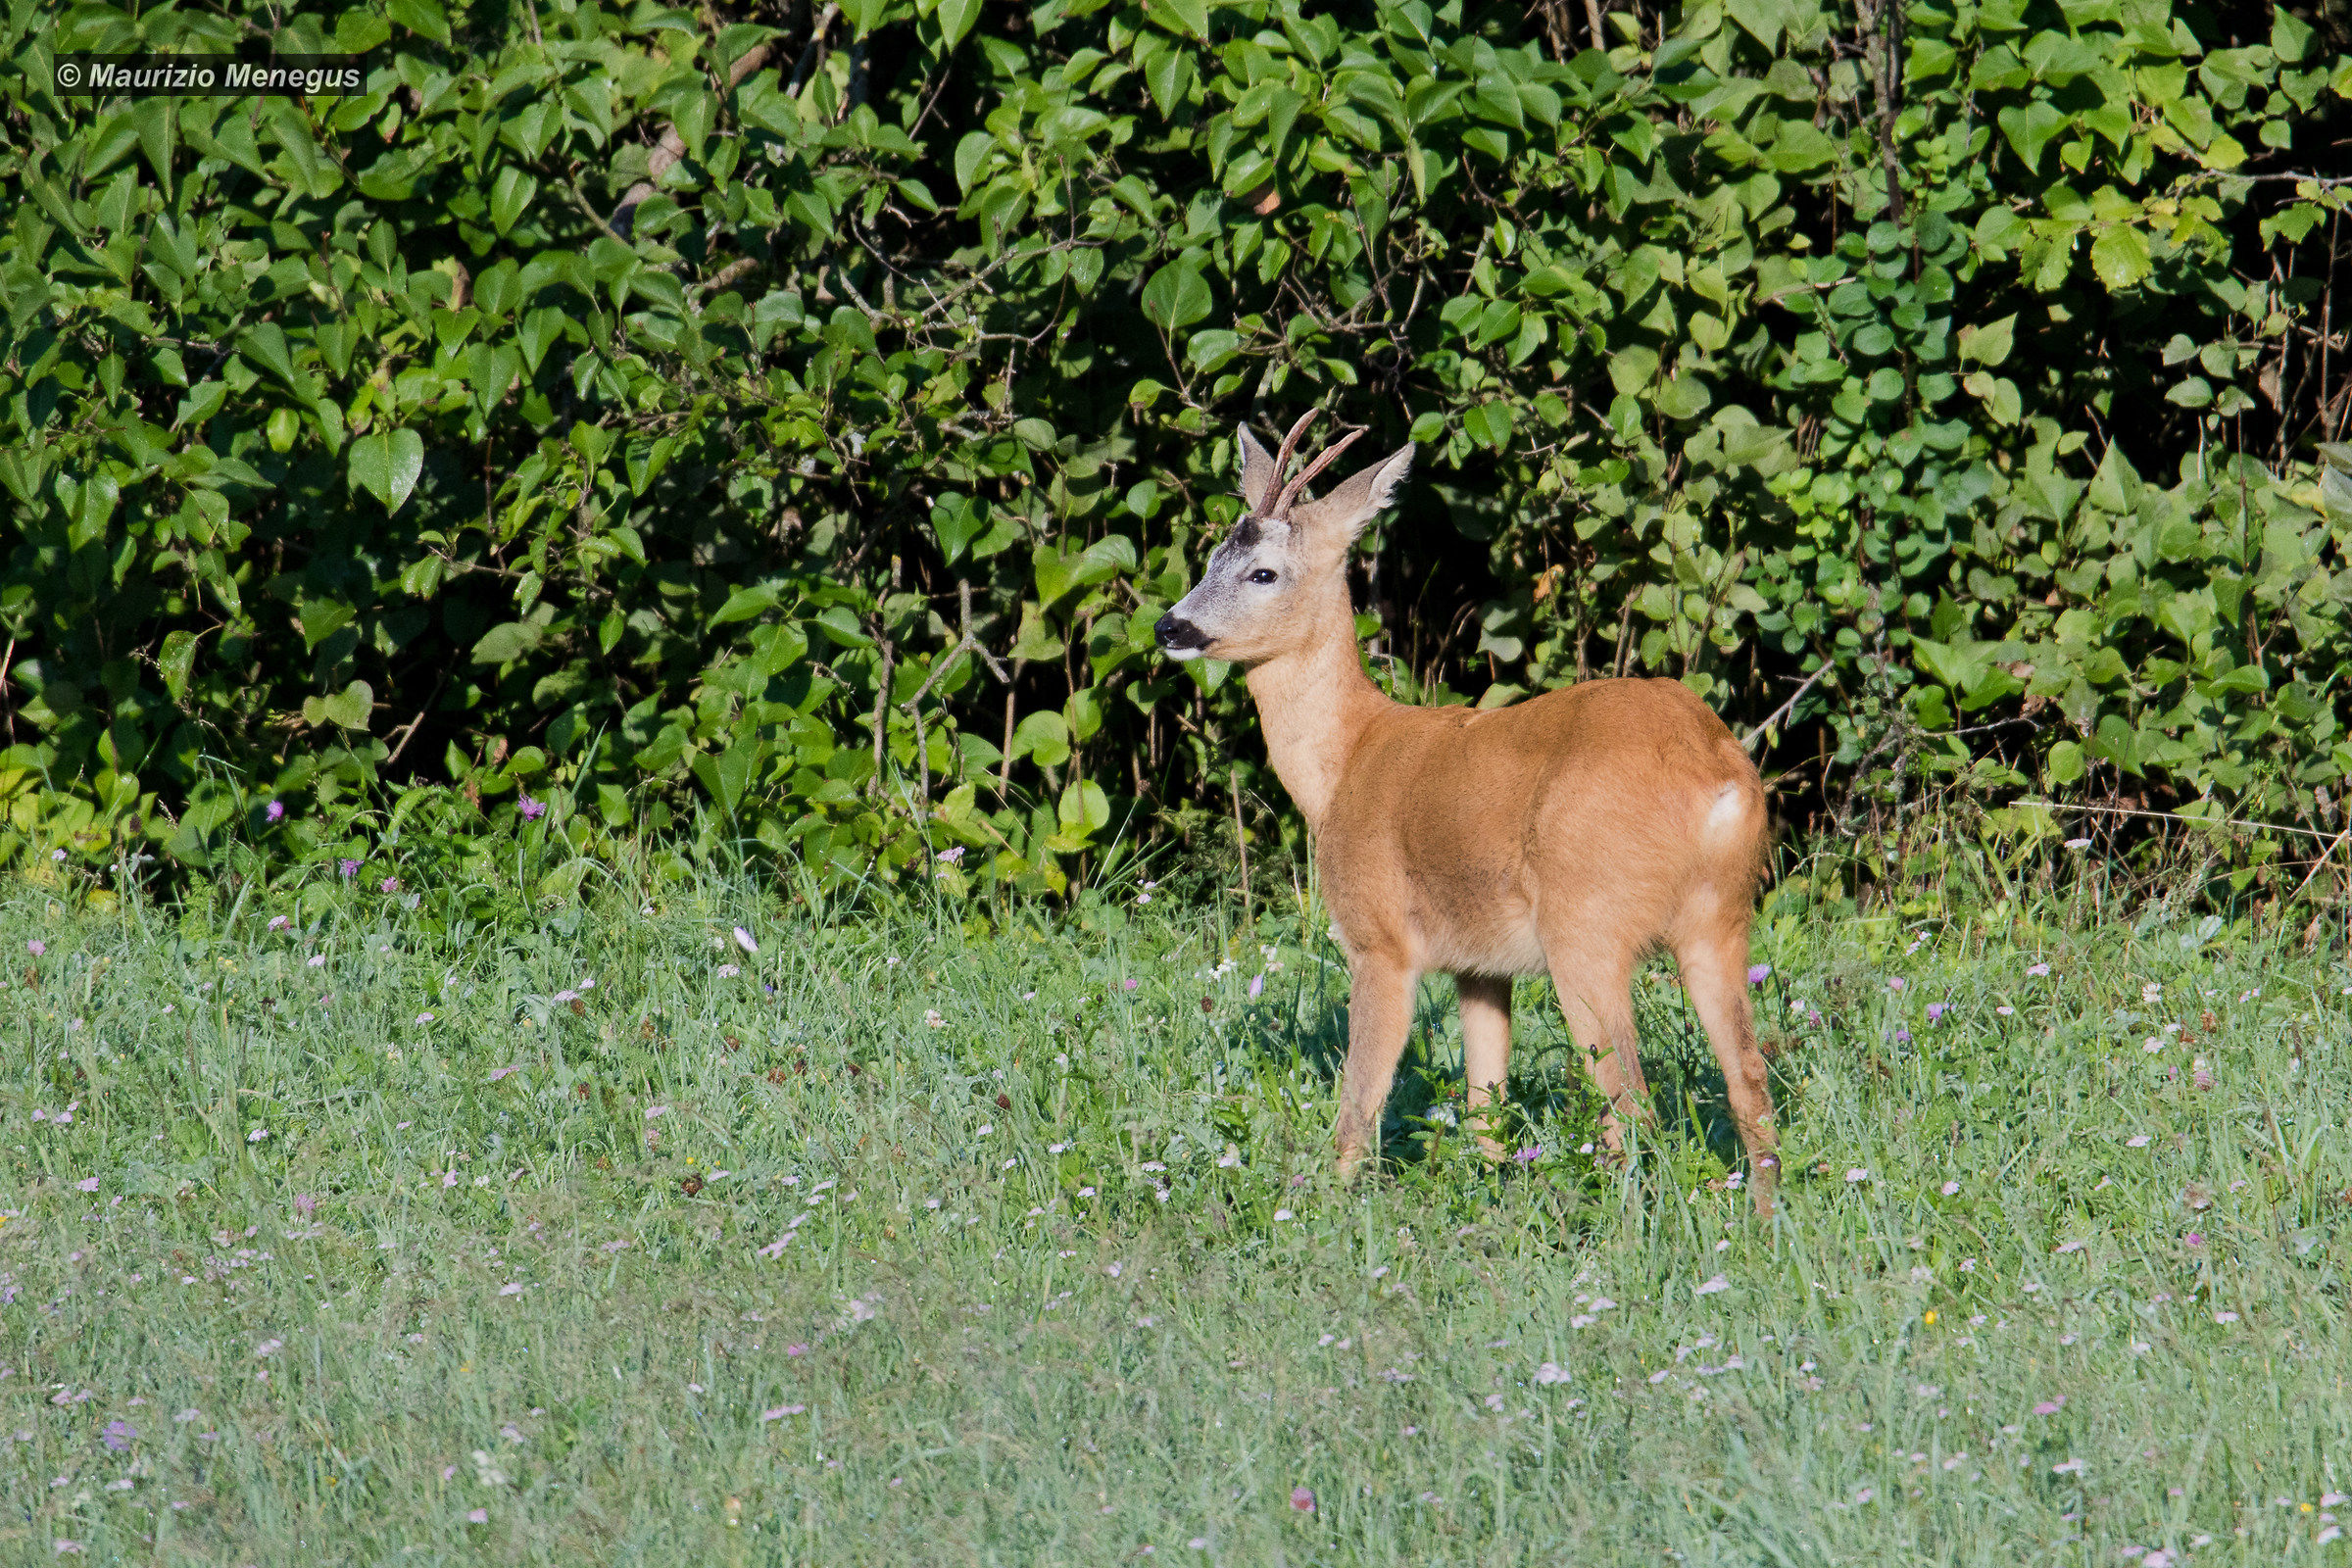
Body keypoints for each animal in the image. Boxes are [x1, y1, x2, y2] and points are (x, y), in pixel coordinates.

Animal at [1154, 412, 1781, 1215]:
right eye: (1209, 558)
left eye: (1261, 572)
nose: (1172, 627)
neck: (1346, 762)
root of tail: (1717, 772)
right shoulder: (1481, 967)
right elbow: (1487, 1100)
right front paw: (1486, 1189)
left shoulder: (1381, 938)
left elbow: (1360, 1101)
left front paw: (1326, 1206)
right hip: (1719, 918)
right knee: (1747, 1079)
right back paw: (1765, 1218)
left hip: (1587, 922)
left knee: (1631, 1101)